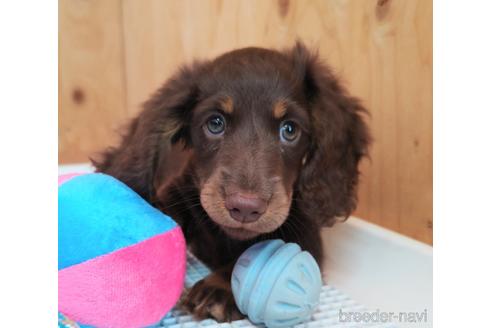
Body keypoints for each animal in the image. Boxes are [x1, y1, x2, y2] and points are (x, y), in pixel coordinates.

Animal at [93, 42, 368, 322]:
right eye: (215, 123)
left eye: (290, 129)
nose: (245, 208)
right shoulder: (178, 193)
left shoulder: (306, 233)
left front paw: (220, 287)